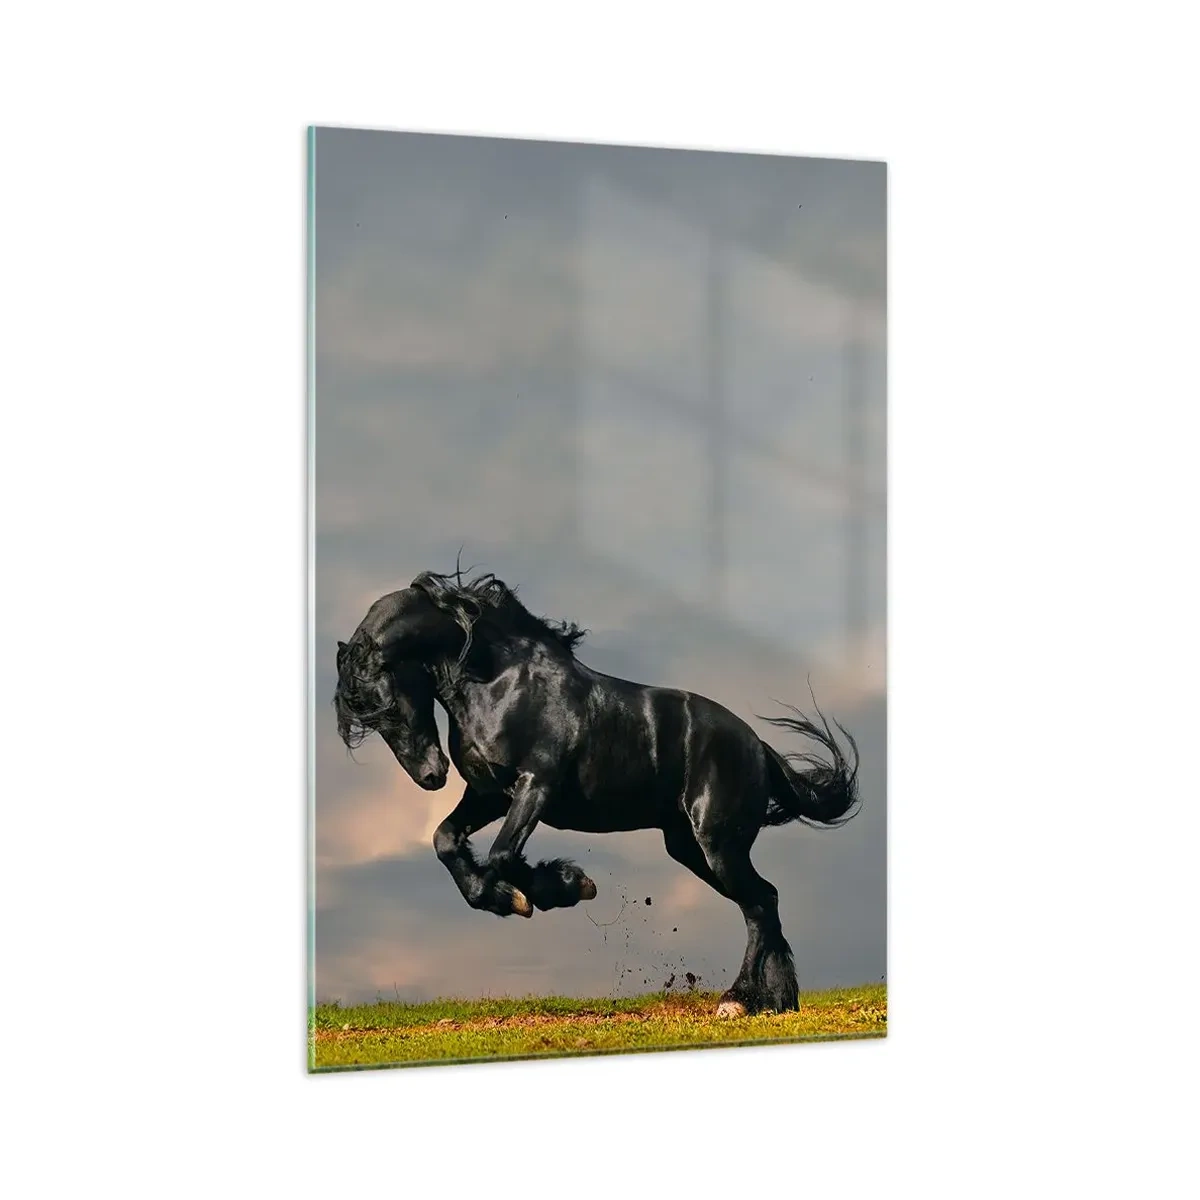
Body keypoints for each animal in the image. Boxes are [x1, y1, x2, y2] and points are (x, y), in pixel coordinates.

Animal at [332, 568, 861, 1017]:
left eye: (386, 704)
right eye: (367, 716)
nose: (430, 776)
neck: (500, 682)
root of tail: (758, 747)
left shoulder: (535, 787)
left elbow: (503, 854)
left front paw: (562, 886)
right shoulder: (489, 795)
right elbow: (446, 842)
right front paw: (507, 898)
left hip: (718, 844)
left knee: (759, 903)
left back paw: (738, 1000)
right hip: (689, 848)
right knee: (763, 902)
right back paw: (776, 1001)